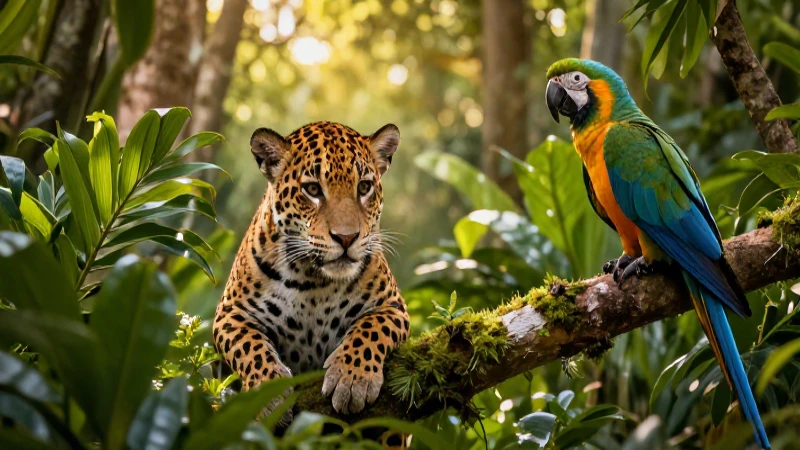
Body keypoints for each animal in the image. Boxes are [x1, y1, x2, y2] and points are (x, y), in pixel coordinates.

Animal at [213, 121, 410, 448]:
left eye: (364, 187)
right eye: (313, 189)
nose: (346, 238)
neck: (314, 281)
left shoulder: (393, 306)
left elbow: (371, 329)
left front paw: (351, 378)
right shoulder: (230, 314)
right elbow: (249, 346)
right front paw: (268, 393)